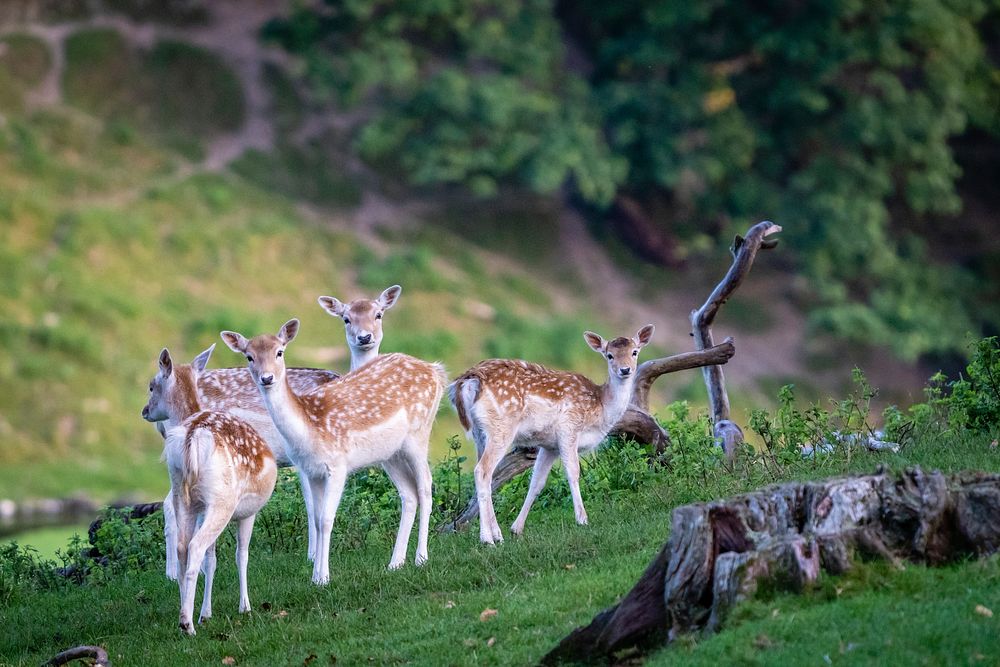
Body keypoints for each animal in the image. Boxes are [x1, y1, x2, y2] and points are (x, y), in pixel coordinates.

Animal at [139, 348, 276, 636]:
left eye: (151, 386)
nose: (144, 411)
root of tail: (193, 435)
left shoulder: (202, 509)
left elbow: (212, 560)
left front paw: (206, 613)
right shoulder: (248, 512)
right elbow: (241, 555)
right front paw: (245, 606)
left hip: (182, 494)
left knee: (183, 547)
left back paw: (184, 613)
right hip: (222, 501)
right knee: (196, 546)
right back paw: (187, 624)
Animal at [155, 284, 402, 576]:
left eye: (379, 314)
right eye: (346, 318)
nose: (365, 337)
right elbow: (311, 504)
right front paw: (312, 557)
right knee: (170, 504)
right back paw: (172, 573)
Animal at [225, 318, 448, 584]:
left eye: (279, 352)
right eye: (249, 356)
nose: (266, 378)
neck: (309, 429)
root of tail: (436, 371)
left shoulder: (338, 465)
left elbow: (326, 519)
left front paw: (324, 578)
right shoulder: (311, 470)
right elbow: (316, 519)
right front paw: (315, 577)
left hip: (419, 434)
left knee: (425, 486)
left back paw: (421, 558)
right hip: (390, 453)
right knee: (409, 494)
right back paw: (395, 563)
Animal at [452, 324, 656, 544]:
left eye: (634, 352)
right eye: (609, 355)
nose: (625, 369)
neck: (600, 409)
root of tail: (467, 382)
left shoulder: (549, 446)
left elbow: (537, 483)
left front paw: (517, 528)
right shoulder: (569, 428)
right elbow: (573, 472)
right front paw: (582, 519)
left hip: (480, 432)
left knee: (488, 474)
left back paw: (497, 534)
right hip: (502, 427)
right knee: (482, 471)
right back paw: (487, 538)